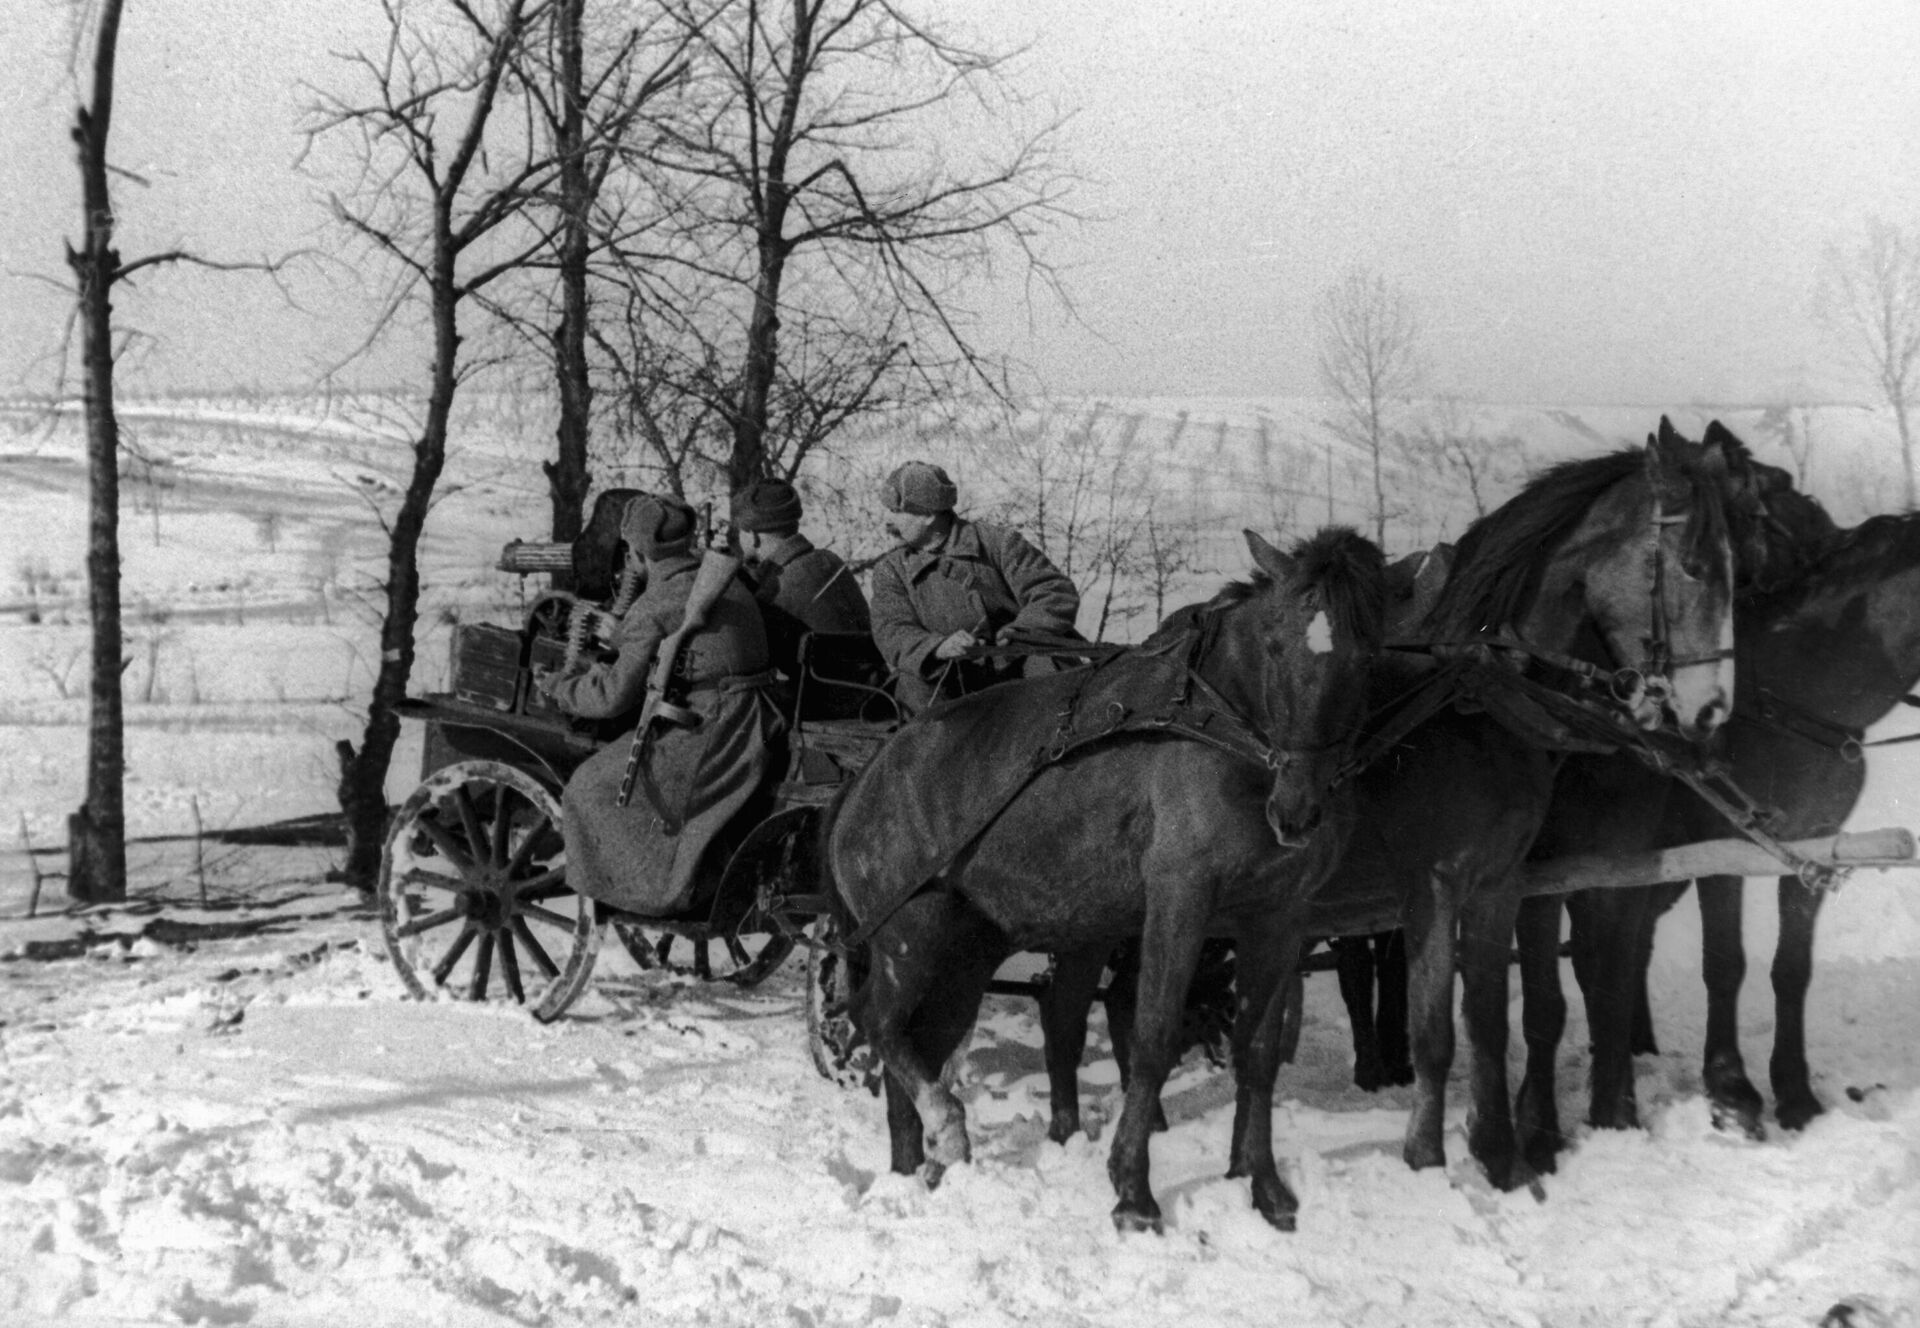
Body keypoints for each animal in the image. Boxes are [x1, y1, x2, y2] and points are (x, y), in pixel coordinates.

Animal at [817, 525, 1390, 1235]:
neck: (1223, 735)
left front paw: (1265, 1188)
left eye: (1368, 658)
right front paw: (1134, 1192)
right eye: (1276, 645)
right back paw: (945, 1126)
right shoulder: (1179, 903)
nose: (1299, 810)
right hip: (907, 936)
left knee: (921, 1039)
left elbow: (1258, 1051)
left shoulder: (1280, 920)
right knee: (877, 1022)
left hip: (964, 955)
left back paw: (917, 1166)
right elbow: (1152, 1037)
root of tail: (862, 780)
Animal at [1036, 422, 1758, 1189]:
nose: (1710, 711)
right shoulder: (1434, 885)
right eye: (1692, 567)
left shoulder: (1501, 884)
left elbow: (1489, 1020)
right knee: (1085, 1005)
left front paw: (1499, 1154)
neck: (1476, 705)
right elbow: (1435, 1028)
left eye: (1736, 567)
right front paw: (1429, 1157)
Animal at [1520, 435, 1920, 1159]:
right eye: (1772, 505)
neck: (1794, 695)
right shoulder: (1723, 847)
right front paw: (1732, 1095)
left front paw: (1794, 1094)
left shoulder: (1807, 854)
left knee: (1616, 950)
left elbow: (1791, 969)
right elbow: (1725, 963)